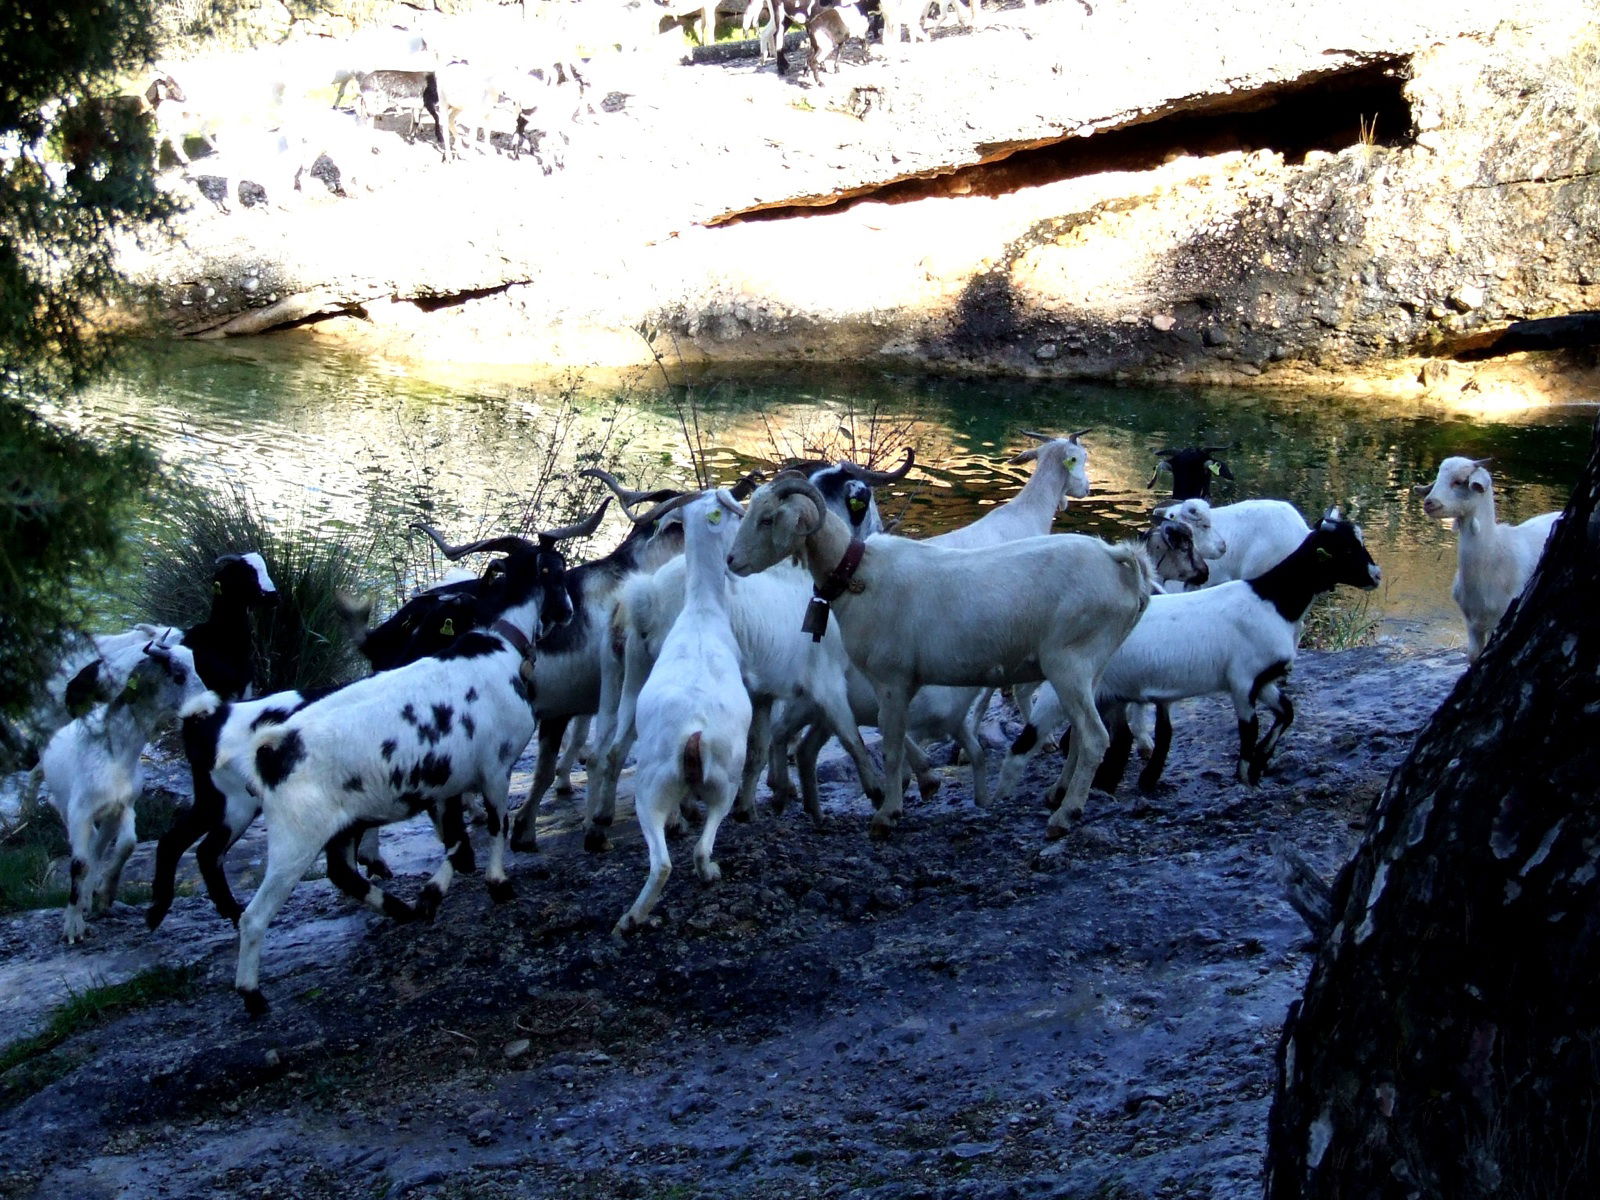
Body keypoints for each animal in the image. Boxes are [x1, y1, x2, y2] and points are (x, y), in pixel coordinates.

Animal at [39, 643, 219, 947]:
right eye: (178, 676)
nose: (209, 709)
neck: (115, 753)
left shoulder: (123, 805)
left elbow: (127, 844)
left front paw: (104, 896)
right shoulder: (79, 812)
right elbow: (79, 864)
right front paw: (73, 927)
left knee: (99, 846)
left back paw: (90, 896)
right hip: (63, 806)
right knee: (86, 849)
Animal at [222, 508, 601, 1017]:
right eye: (558, 569)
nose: (569, 612)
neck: (496, 646)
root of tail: (271, 747)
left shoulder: (447, 787)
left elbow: (459, 846)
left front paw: (428, 897)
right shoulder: (495, 767)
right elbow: (495, 826)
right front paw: (499, 883)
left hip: (343, 823)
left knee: (342, 873)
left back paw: (396, 908)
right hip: (295, 839)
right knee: (255, 915)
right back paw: (252, 994)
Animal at [617, 489, 755, 940]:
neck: (701, 614)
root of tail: (693, 735)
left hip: (653, 787)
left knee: (663, 858)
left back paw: (630, 917)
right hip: (724, 781)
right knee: (697, 848)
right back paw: (708, 873)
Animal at [1420, 457, 1555, 662]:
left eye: (1459, 481)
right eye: (1437, 478)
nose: (1429, 503)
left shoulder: (1500, 619)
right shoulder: (1471, 623)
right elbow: (1474, 655)